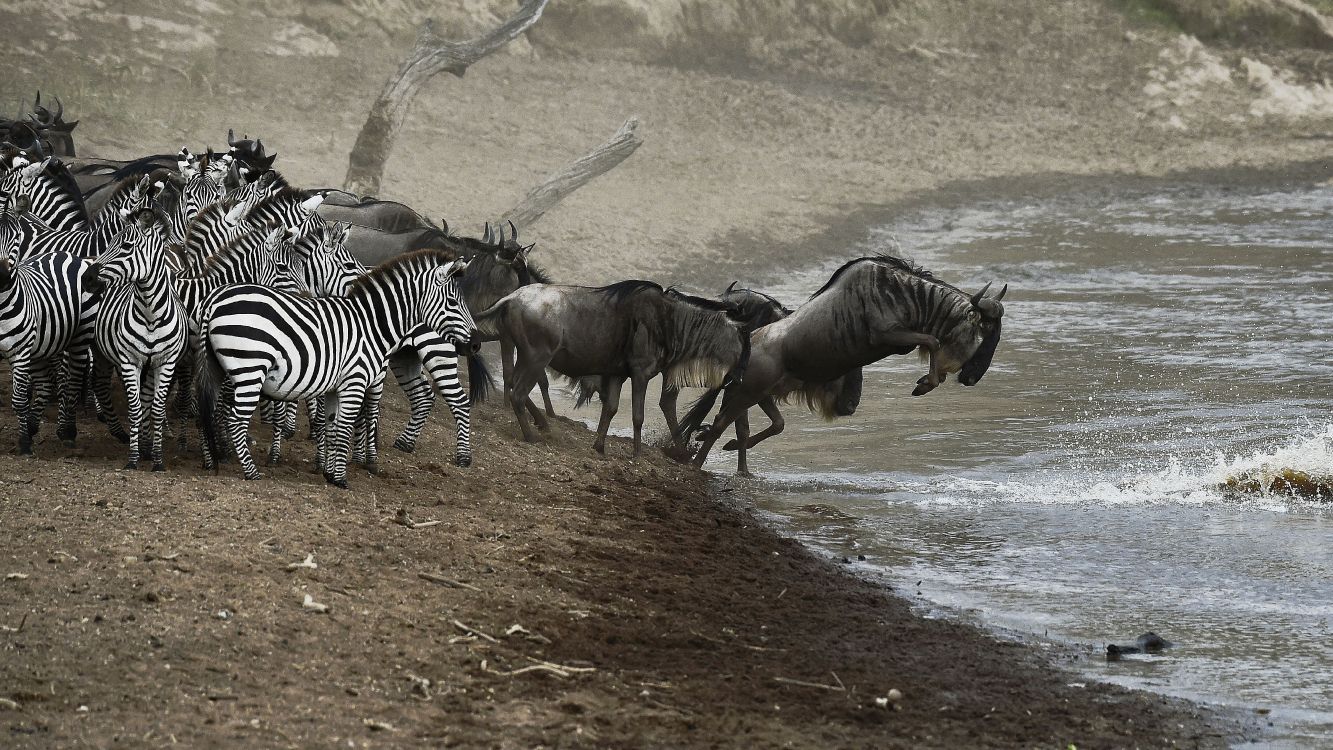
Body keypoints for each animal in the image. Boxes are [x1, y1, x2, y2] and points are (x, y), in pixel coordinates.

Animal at [82, 210, 187, 468]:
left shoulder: (165, 363)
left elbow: (156, 408)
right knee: (97, 382)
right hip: (93, 345)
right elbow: (135, 408)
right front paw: (133, 457)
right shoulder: (130, 361)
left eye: (127, 246)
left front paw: (157, 458)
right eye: (109, 242)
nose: (88, 279)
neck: (150, 314)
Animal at [194, 249, 474, 490]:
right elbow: (344, 428)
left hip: (216, 368)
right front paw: (340, 479)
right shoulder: (355, 382)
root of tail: (214, 300)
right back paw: (251, 472)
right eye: (452, 302)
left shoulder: (334, 387)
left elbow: (331, 427)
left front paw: (329, 472)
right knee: (235, 420)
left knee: (206, 412)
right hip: (250, 370)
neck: (371, 325)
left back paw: (210, 461)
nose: (476, 343)